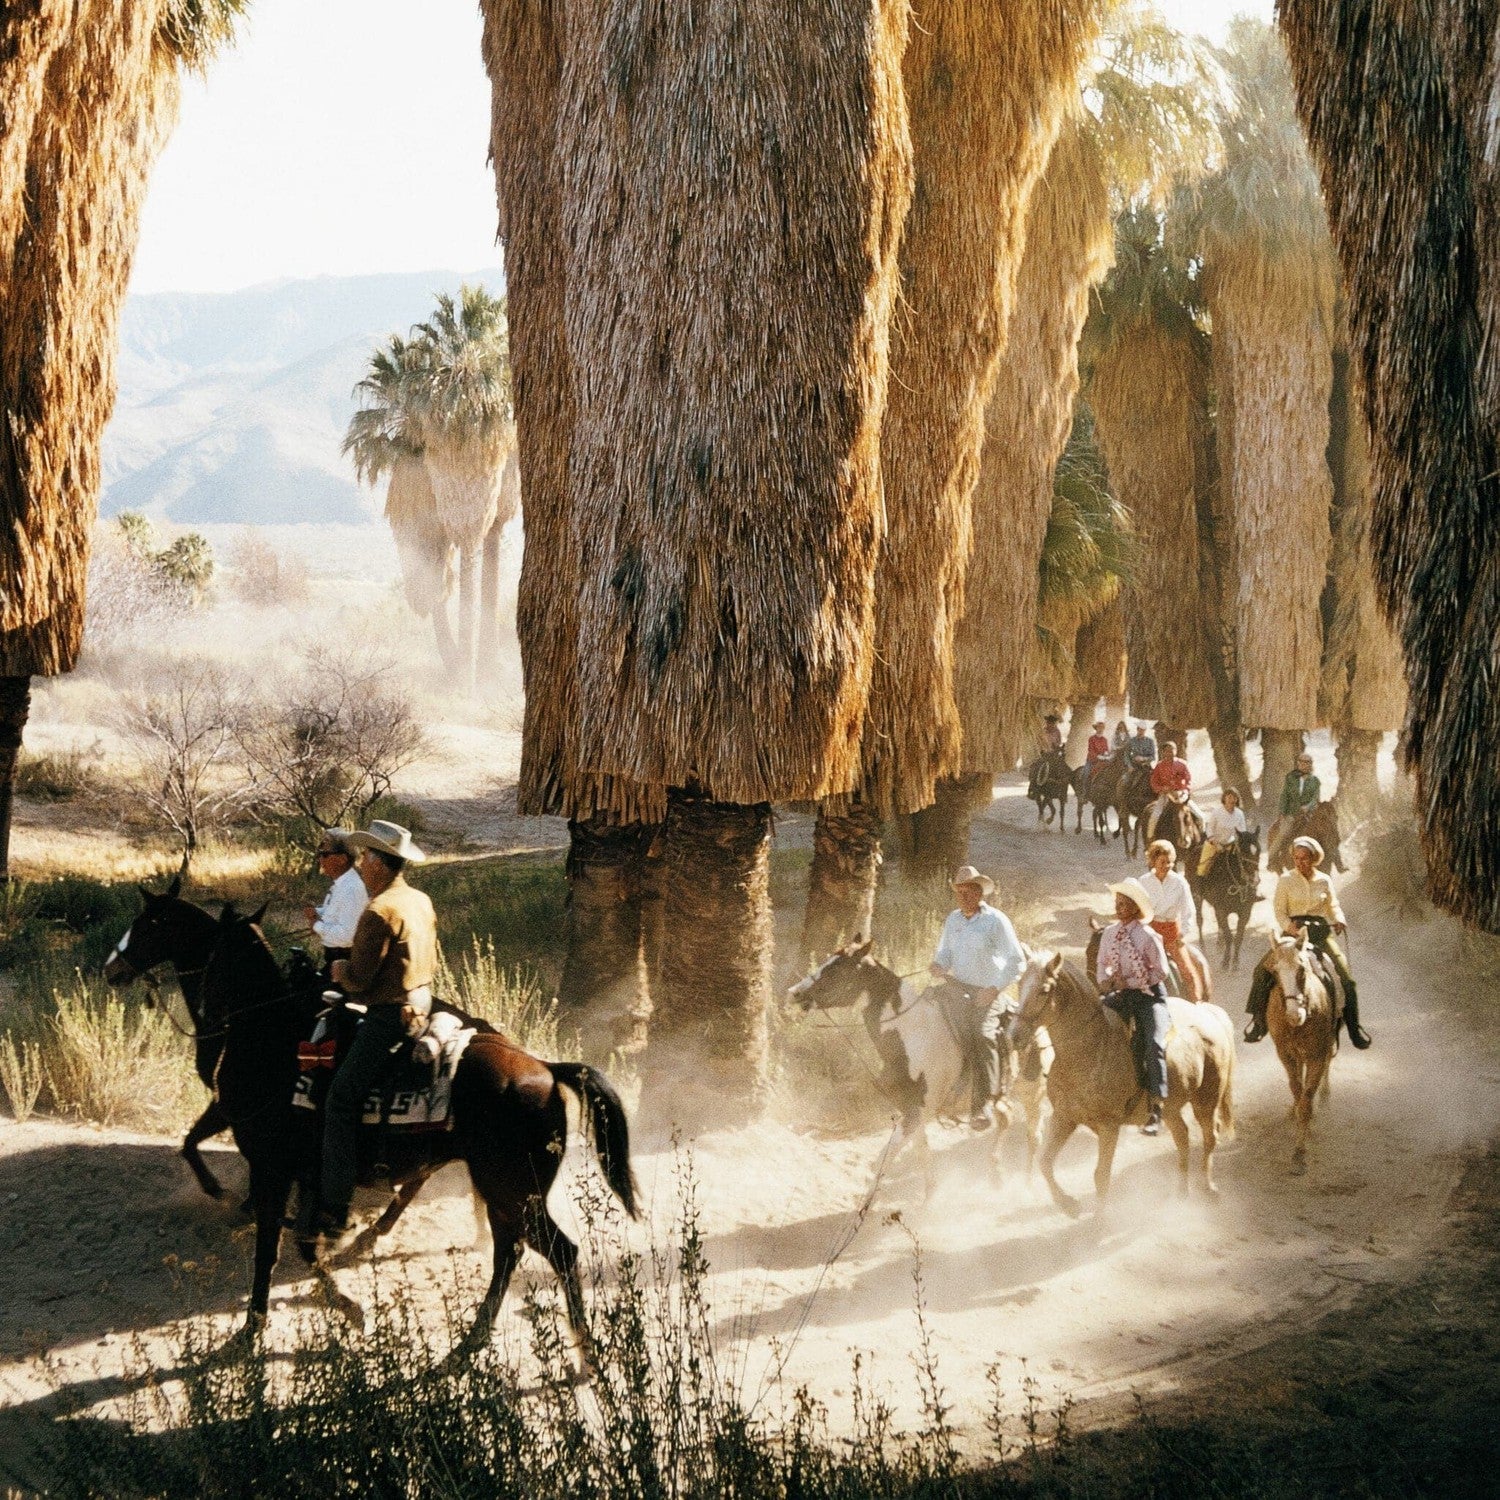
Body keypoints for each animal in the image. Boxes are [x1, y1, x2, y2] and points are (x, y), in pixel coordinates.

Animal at [107, 888, 639, 1350]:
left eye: (147, 922)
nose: (112, 967)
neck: (267, 1031)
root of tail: (546, 1068)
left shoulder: (271, 1164)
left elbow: (269, 1244)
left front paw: (256, 1324)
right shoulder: (305, 1171)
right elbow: (299, 1240)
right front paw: (342, 1302)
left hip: (514, 1188)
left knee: (555, 1251)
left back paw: (579, 1348)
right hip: (503, 1189)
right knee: (506, 1249)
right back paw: (468, 1333)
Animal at [792, 936, 1050, 1194]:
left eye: (837, 968)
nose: (794, 992)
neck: (911, 1033)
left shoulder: (921, 1108)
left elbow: (887, 1156)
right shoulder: (909, 1107)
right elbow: (919, 1149)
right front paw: (929, 1192)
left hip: (1034, 1093)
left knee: (1034, 1135)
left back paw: (1027, 1183)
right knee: (1006, 1117)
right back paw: (996, 1174)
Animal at [1188, 822, 1260, 972]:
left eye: (1259, 851)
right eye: (1243, 852)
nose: (1255, 879)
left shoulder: (1245, 912)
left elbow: (1238, 937)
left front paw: (1235, 962)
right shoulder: (1221, 909)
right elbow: (1229, 936)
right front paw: (1226, 962)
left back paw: (1219, 942)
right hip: (1196, 895)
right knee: (1200, 919)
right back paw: (1203, 946)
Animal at [1260, 918, 1344, 1176]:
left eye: (1302, 970)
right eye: (1274, 972)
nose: (1294, 1015)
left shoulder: (1317, 1053)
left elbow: (1307, 1099)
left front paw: (1299, 1153)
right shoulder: (1286, 1054)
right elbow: (1297, 1090)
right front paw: (1296, 1115)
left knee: (1325, 1068)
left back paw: (1324, 1095)